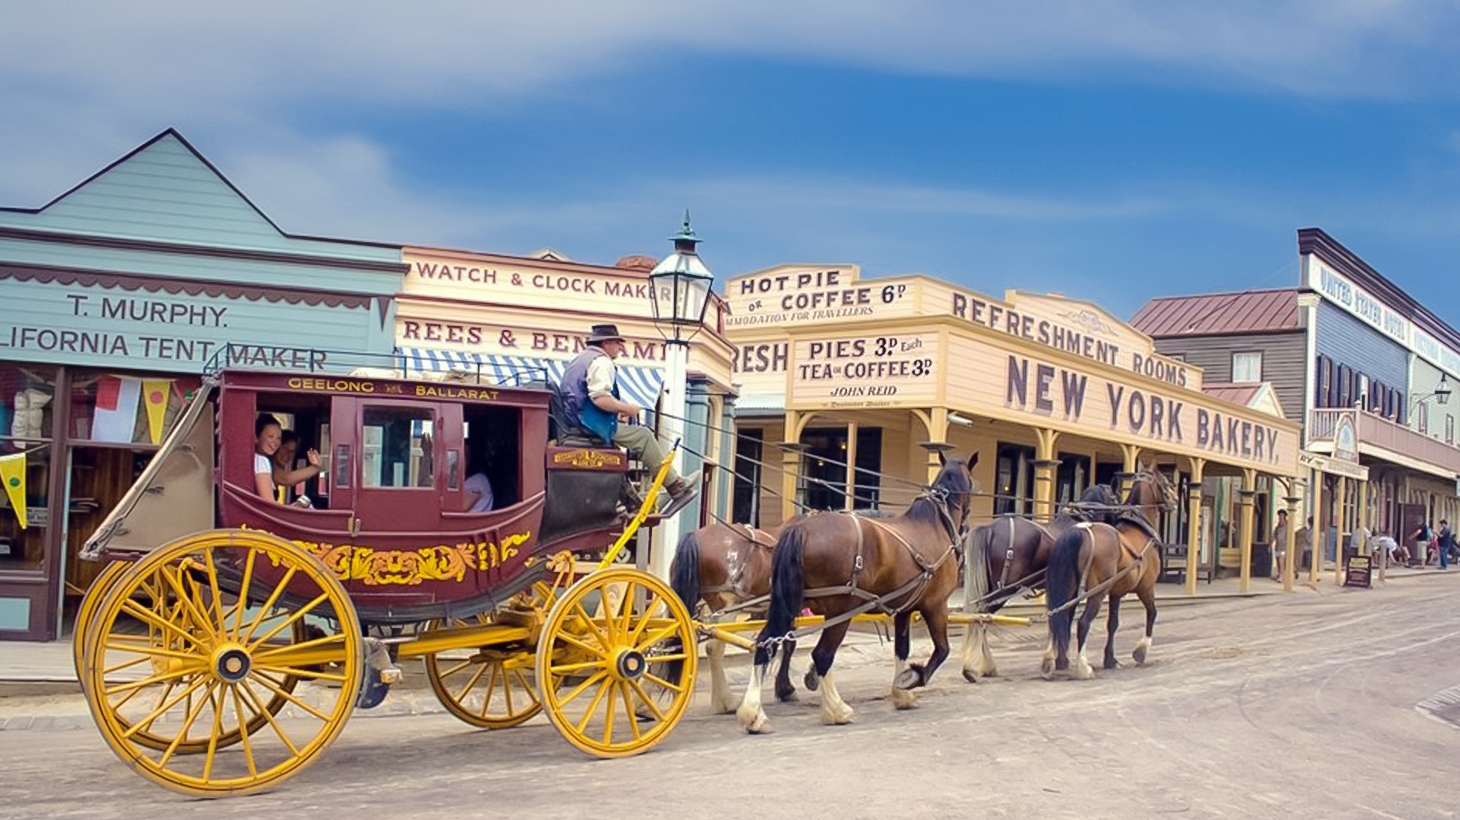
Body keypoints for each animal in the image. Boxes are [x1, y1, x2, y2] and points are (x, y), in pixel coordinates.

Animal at [668, 519, 800, 712]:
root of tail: (696, 536)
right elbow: (788, 643)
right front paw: (787, 689)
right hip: (727, 606)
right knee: (714, 649)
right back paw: (726, 701)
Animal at [735, 449, 975, 729]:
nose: (967, 526)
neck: (933, 525)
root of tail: (801, 528)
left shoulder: (904, 609)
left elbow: (902, 650)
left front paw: (902, 694)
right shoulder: (935, 605)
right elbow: (942, 650)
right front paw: (913, 678)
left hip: (788, 604)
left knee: (766, 643)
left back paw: (754, 714)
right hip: (840, 612)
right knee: (822, 654)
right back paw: (837, 710)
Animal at [957, 481, 1115, 679]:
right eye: (1115, 498)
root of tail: (991, 528)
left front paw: (1053, 660)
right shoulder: (1071, 591)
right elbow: (1064, 619)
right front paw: (1060, 660)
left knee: (979, 616)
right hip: (1004, 590)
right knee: (983, 616)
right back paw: (978, 666)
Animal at [1045, 463, 1179, 679]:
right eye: (1165, 482)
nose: (1175, 501)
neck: (1141, 528)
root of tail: (1080, 530)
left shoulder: (1116, 592)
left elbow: (1113, 623)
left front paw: (1110, 659)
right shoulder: (1146, 587)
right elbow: (1152, 613)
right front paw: (1141, 650)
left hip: (1071, 589)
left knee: (1060, 617)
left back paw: (1059, 661)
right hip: (1097, 592)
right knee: (1083, 623)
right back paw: (1083, 667)